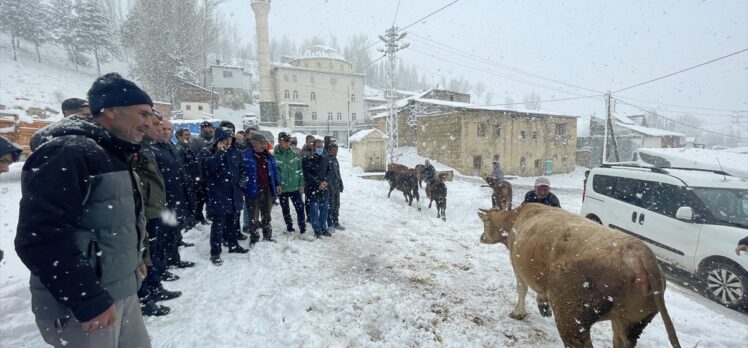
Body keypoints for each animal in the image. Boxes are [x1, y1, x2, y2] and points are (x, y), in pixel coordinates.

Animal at [476, 204, 680, 348]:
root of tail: (641, 254)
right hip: (630, 322)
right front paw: (543, 306)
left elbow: (522, 288)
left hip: (572, 314)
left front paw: (518, 312)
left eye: (485, 223)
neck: (515, 219)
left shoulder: (515, 260)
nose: (481, 237)